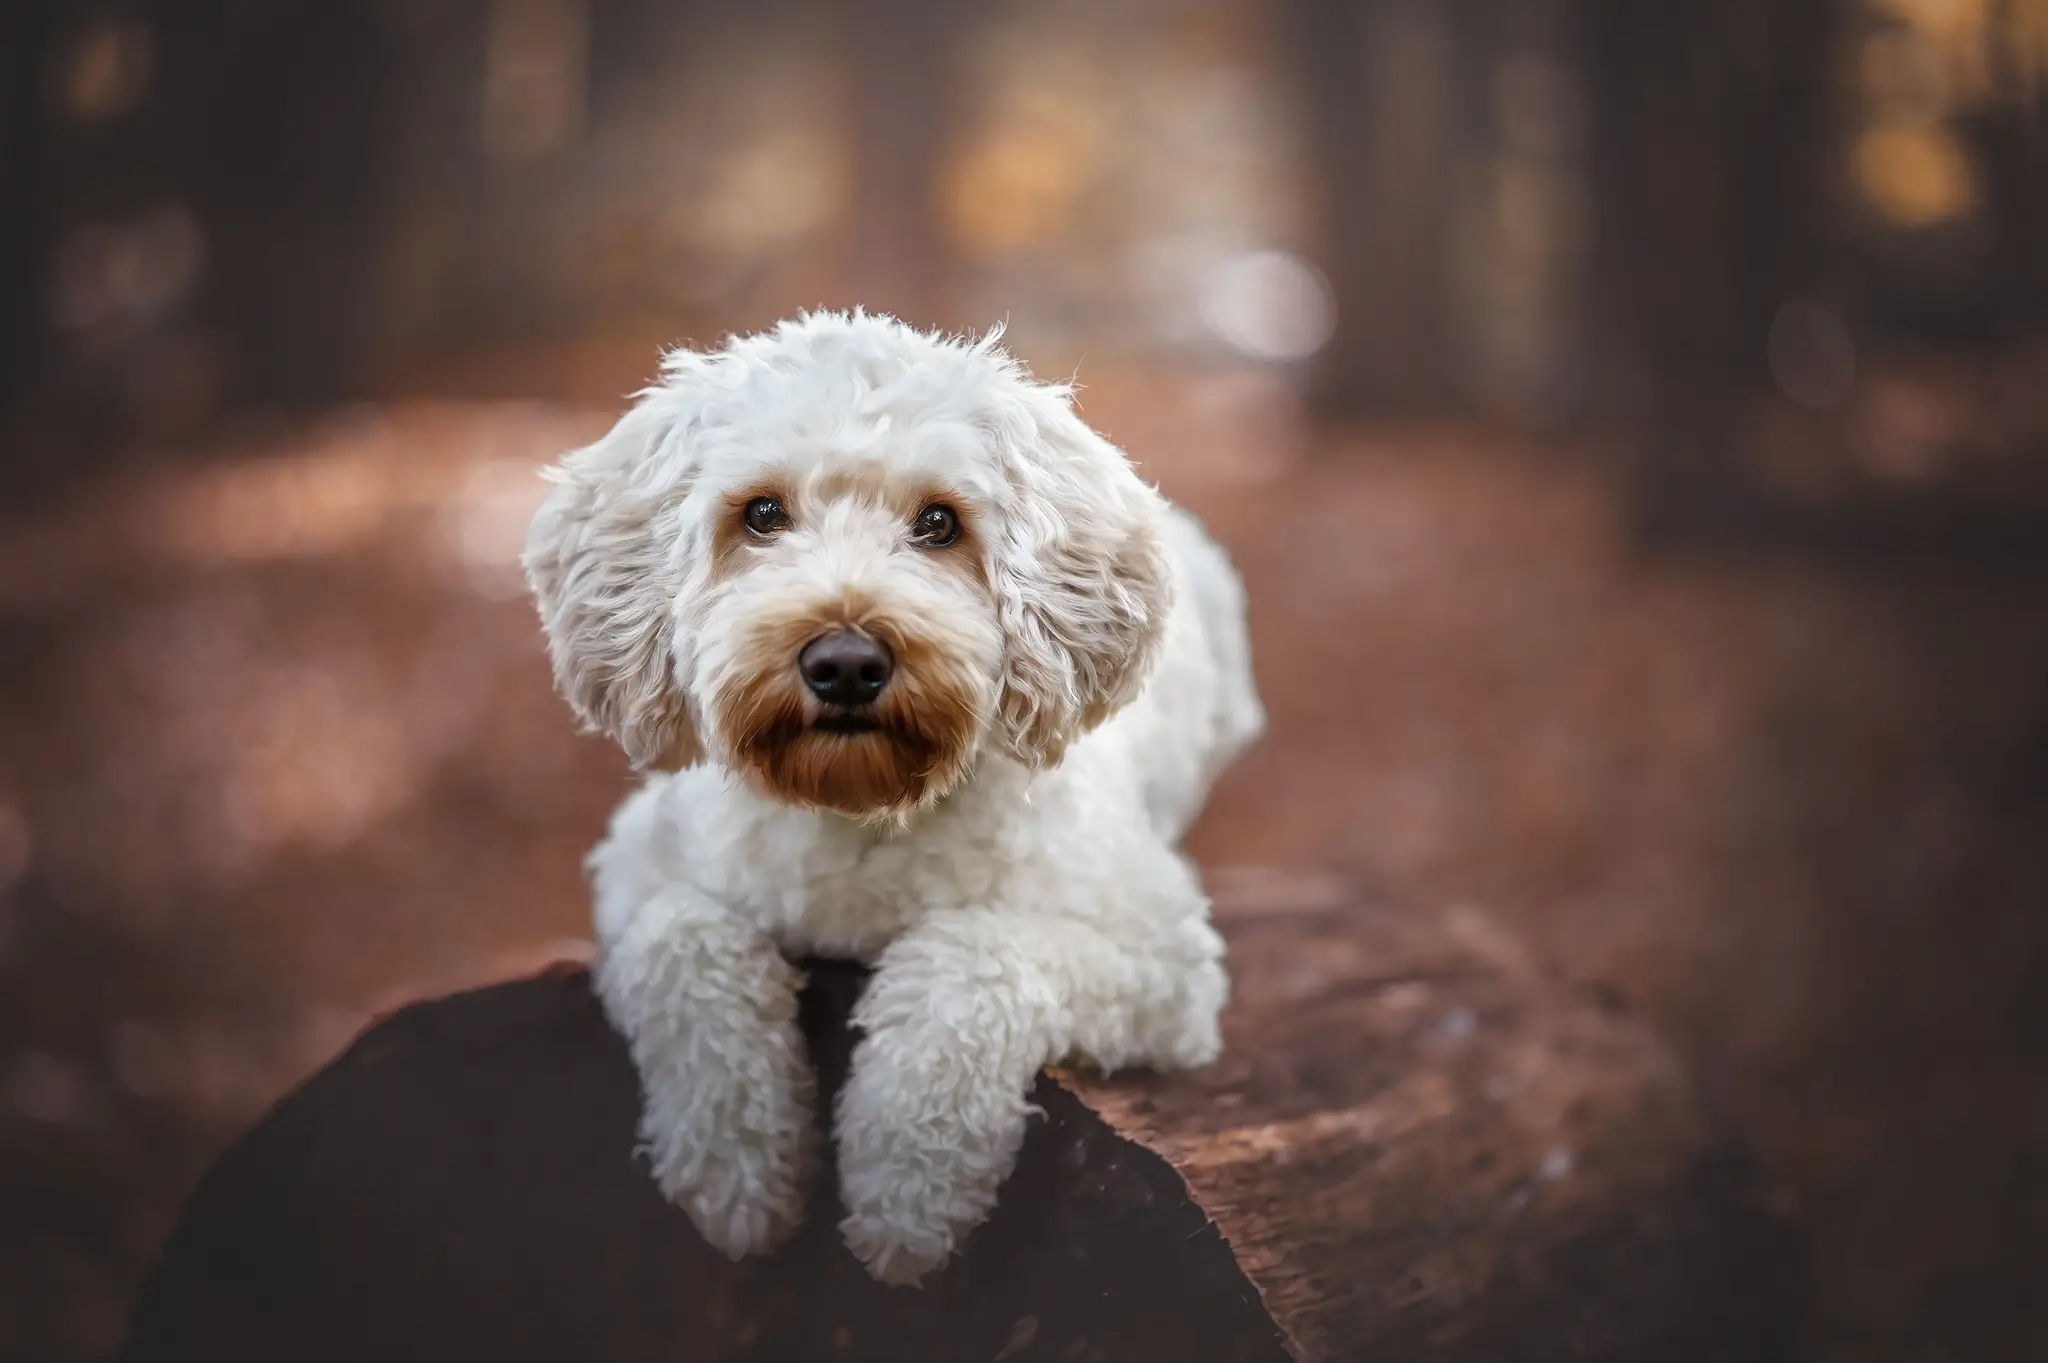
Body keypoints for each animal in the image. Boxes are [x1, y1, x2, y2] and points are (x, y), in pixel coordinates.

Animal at [524, 311, 1261, 1285]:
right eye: (761, 513)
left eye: (939, 522)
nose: (844, 662)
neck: (859, 813)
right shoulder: (634, 873)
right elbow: (681, 939)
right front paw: (736, 1165)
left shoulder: (1167, 964)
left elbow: (973, 951)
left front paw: (906, 1182)